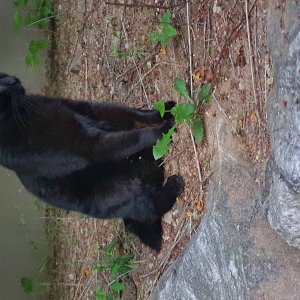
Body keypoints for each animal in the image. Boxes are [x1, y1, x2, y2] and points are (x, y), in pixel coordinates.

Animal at [0, 72, 183, 251]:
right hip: (116, 191)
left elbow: (133, 113)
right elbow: (134, 138)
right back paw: (174, 183)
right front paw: (163, 130)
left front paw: (166, 110)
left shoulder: (88, 109)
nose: (12, 81)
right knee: (150, 208)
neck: (28, 112)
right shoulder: (91, 145)